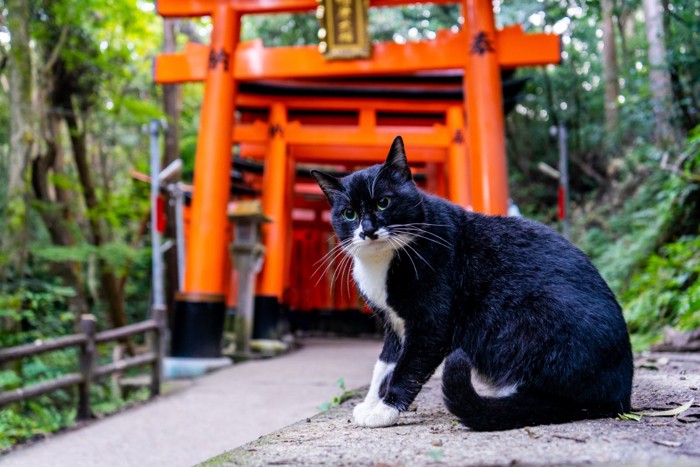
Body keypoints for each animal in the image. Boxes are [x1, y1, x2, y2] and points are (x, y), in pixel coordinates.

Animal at [312, 135, 636, 432]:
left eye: (383, 202)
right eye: (349, 214)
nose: (367, 230)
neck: (383, 262)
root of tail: (620, 392)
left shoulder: (431, 324)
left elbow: (407, 367)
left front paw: (384, 410)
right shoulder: (394, 322)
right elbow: (384, 364)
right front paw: (370, 402)